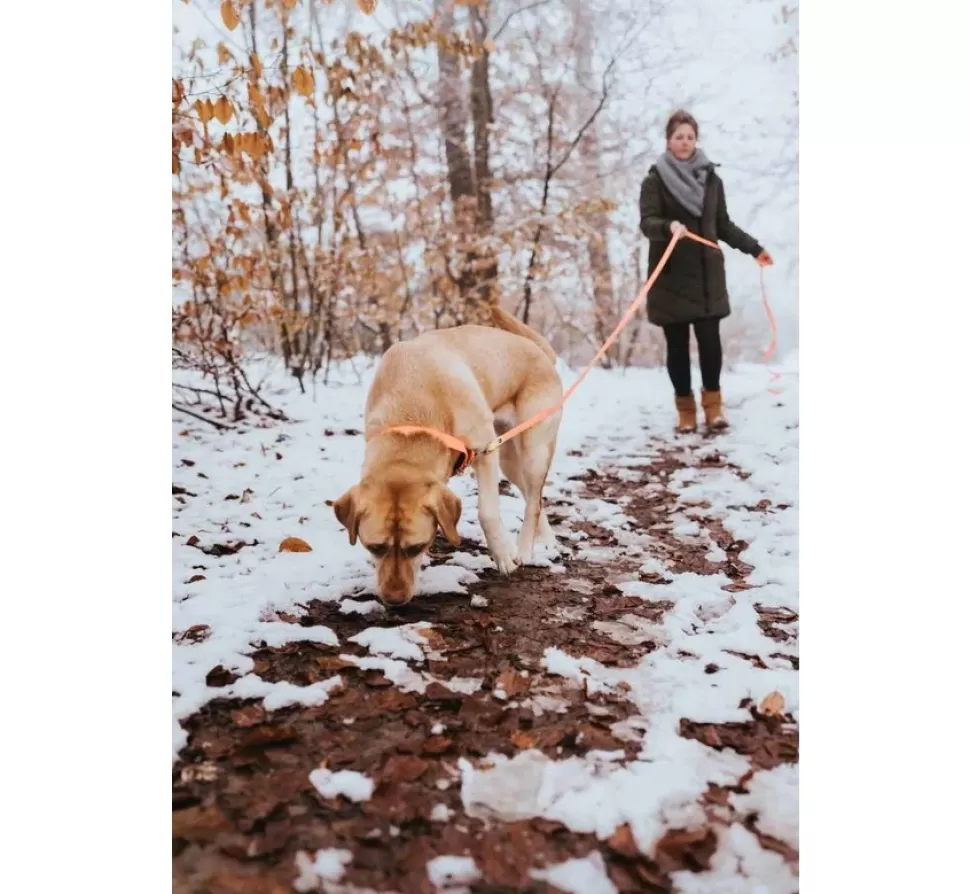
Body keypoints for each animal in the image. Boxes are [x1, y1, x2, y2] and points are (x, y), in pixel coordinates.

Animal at [332, 304, 560, 604]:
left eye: (417, 547)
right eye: (375, 547)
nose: (394, 600)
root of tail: (539, 350)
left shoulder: (485, 451)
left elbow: (488, 513)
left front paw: (503, 558)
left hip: (533, 450)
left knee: (533, 502)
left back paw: (523, 551)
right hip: (510, 461)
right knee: (534, 498)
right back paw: (547, 542)